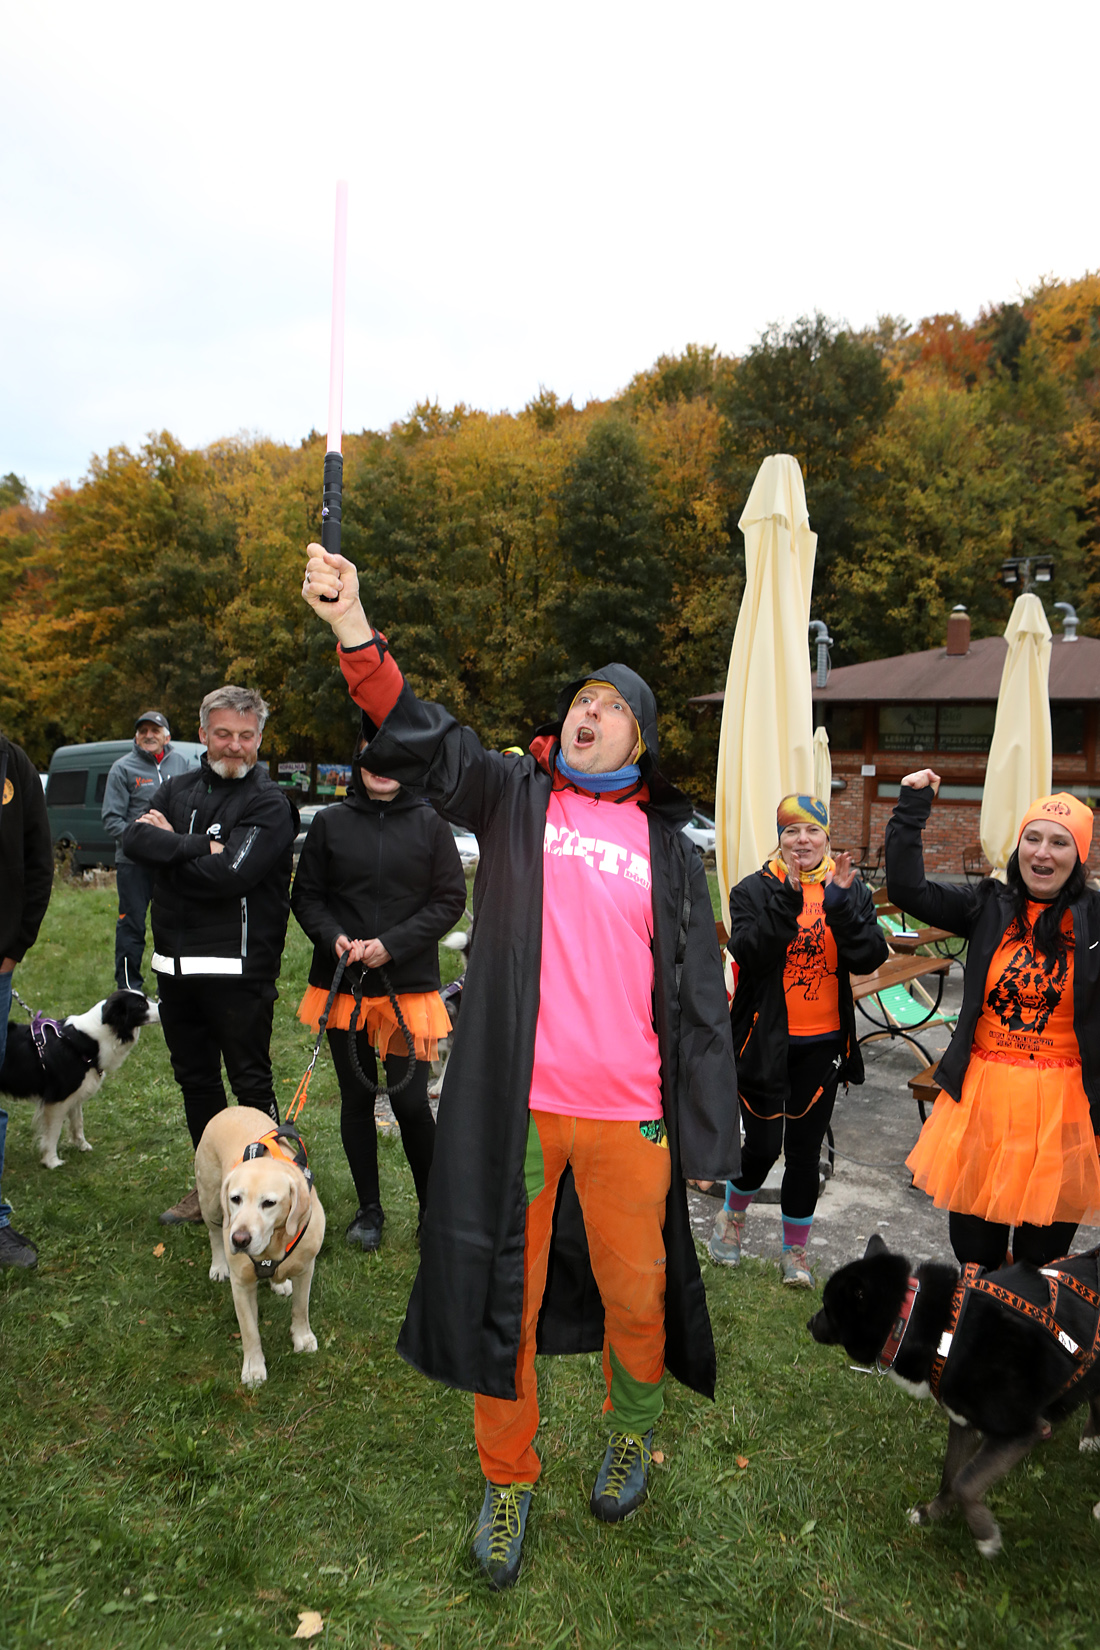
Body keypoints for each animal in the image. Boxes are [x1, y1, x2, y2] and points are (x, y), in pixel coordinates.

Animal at [0, 989, 161, 1168]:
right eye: (141, 1005)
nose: (162, 1005)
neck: (91, 1039)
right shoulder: (58, 1099)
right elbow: (53, 1132)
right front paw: (52, 1161)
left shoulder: (76, 1092)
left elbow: (78, 1121)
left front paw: (82, 1145)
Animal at [195, 1108, 326, 1388]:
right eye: (235, 1199)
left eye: (269, 1203)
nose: (239, 1239)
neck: (273, 1243)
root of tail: (230, 1109)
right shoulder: (242, 1285)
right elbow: (249, 1331)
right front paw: (254, 1368)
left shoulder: (306, 1269)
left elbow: (301, 1308)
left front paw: (302, 1338)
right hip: (209, 1201)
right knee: (213, 1232)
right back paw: (218, 1265)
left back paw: (279, 1283)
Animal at [809, 1235, 1100, 1556]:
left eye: (827, 1307)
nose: (808, 1323)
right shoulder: (961, 1422)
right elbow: (951, 1475)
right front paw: (931, 1513)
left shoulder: (1020, 1430)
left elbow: (965, 1483)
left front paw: (985, 1535)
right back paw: (1092, 1436)